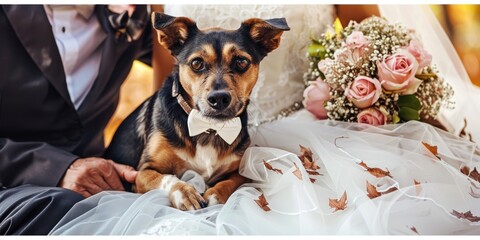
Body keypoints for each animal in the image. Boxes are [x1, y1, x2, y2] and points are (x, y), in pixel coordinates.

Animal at [104, 12, 288, 210]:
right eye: (197, 63)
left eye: (241, 61)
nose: (219, 98)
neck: (209, 128)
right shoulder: (142, 172)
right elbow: (167, 178)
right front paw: (185, 193)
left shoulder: (244, 170)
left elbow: (230, 181)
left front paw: (215, 194)